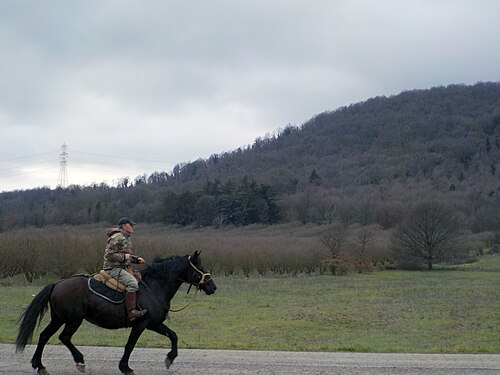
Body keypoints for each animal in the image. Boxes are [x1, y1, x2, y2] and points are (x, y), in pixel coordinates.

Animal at [16, 250, 216, 375]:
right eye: (200, 267)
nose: (213, 287)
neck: (154, 287)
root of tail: (57, 284)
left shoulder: (154, 324)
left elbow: (173, 336)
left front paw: (170, 358)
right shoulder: (141, 324)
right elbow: (130, 345)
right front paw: (125, 367)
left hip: (59, 318)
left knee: (44, 336)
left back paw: (40, 365)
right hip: (73, 320)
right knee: (63, 337)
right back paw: (79, 361)